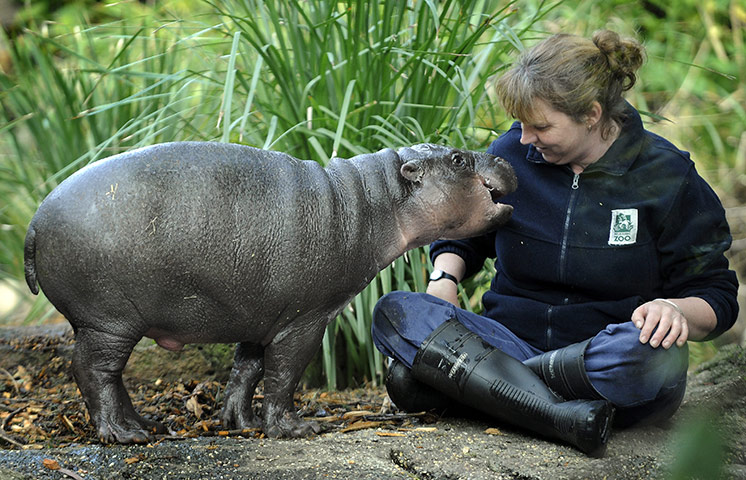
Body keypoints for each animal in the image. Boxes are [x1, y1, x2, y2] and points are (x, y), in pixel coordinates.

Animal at [23, 141, 516, 444]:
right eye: (457, 159)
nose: (505, 159)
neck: (375, 201)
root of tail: (35, 219)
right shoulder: (305, 319)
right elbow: (285, 374)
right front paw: (295, 429)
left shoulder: (260, 313)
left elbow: (246, 372)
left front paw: (240, 424)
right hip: (108, 321)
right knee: (94, 372)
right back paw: (124, 435)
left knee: (111, 379)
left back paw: (146, 425)